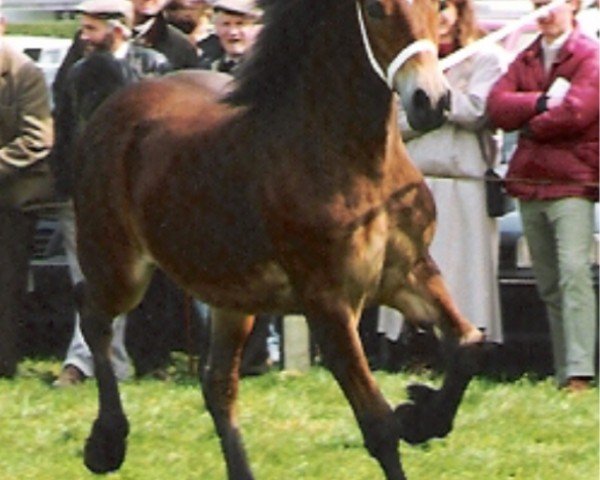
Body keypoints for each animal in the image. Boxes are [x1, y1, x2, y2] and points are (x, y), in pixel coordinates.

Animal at [75, 0, 486, 480]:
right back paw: (105, 443)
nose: (431, 102)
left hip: (232, 296)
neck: (353, 160)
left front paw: (421, 414)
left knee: (217, 384)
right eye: (374, 10)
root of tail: (113, 105)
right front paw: (410, 414)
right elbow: (378, 424)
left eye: (437, 7)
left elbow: (469, 345)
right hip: (121, 267)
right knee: (91, 313)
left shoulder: (408, 274)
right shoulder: (329, 302)